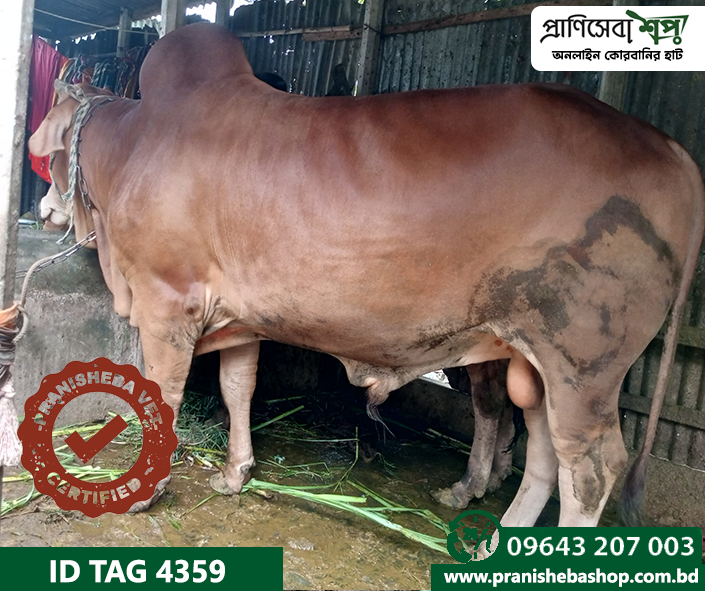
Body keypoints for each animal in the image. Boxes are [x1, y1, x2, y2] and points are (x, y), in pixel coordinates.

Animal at [29, 23, 705, 530]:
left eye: (45, 154)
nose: (41, 208)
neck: (134, 146)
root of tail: (670, 147)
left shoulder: (166, 304)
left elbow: (162, 396)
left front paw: (145, 491)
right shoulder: (240, 318)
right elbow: (237, 388)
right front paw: (234, 472)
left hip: (582, 364)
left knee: (589, 470)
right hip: (531, 360)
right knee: (540, 448)